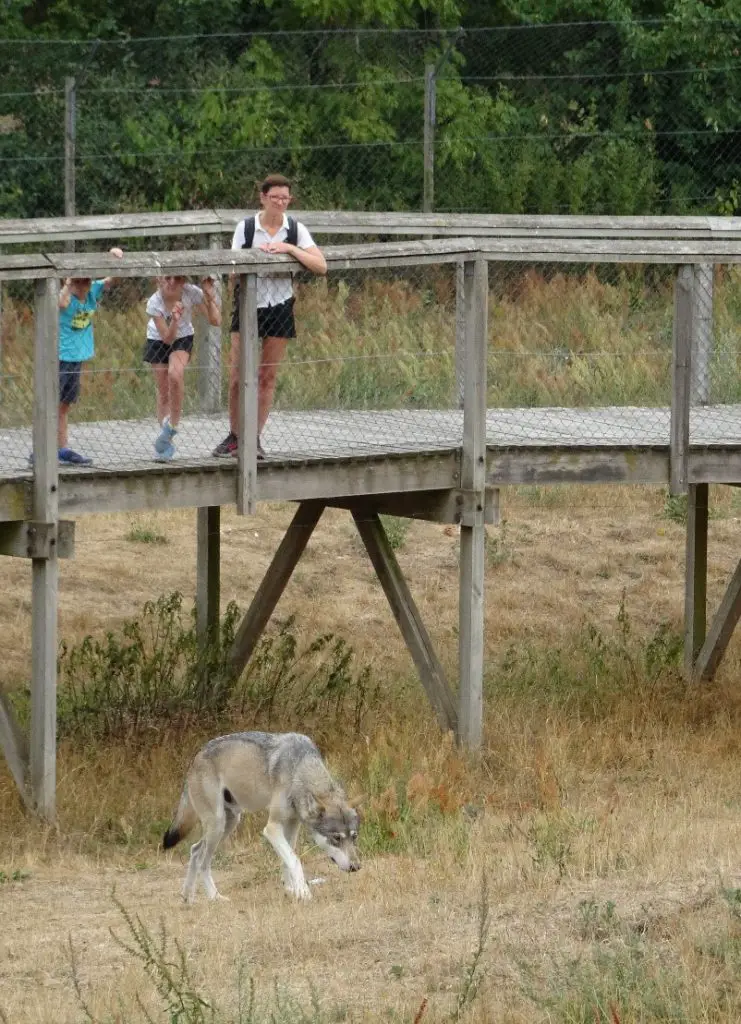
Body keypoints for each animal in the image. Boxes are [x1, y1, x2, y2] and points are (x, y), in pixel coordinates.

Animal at [162, 729, 362, 905]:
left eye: (354, 837)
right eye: (336, 838)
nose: (356, 867)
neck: (298, 770)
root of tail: (195, 757)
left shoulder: (292, 825)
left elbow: (286, 860)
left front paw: (292, 890)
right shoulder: (272, 828)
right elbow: (295, 860)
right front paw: (304, 892)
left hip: (229, 823)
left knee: (195, 850)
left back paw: (187, 897)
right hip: (218, 825)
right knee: (203, 861)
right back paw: (214, 897)